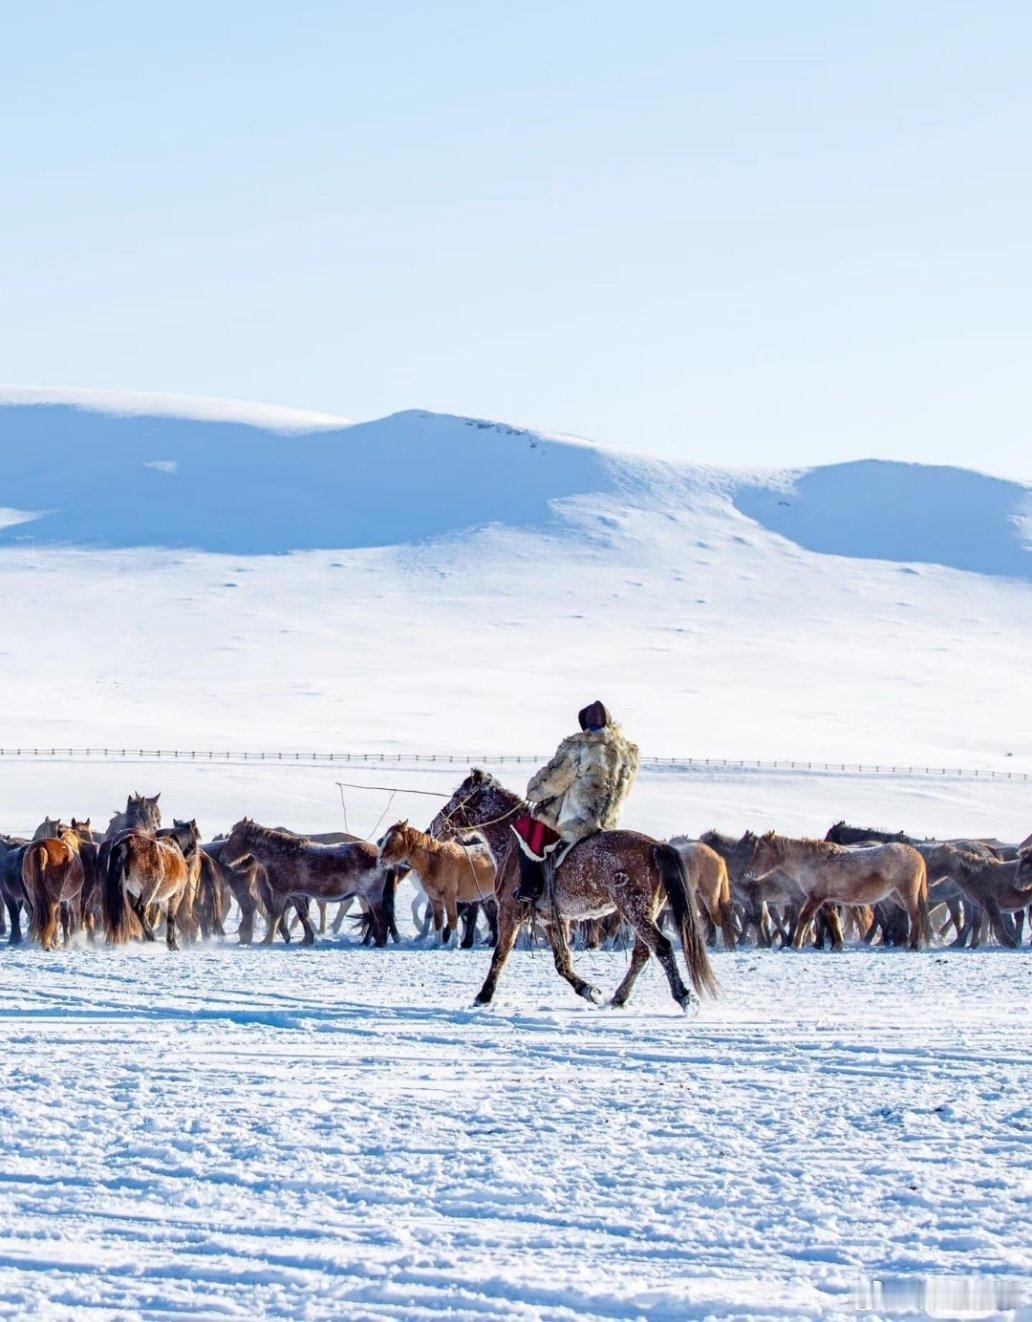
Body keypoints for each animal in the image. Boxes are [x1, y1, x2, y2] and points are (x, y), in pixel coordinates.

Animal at [430, 766, 713, 1010]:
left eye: (457, 796)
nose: (434, 827)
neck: (512, 843)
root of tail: (655, 846)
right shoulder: (551, 920)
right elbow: (562, 962)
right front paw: (590, 991)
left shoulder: (509, 912)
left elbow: (500, 953)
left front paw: (483, 996)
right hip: (645, 911)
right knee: (642, 952)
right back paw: (618, 998)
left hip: (635, 909)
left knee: (661, 946)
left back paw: (684, 997)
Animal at [745, 830, 930, 946]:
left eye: (762, 850)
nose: (749, 873)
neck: (812, 862)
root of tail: (916, 854)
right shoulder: (826, 899)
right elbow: (833, 919)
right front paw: (838, 945)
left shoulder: (816, 897)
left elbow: (804, 918)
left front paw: (796, 945)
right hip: (893, 897)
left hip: (906, 894)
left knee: (915, 915)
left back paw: (914, 945)